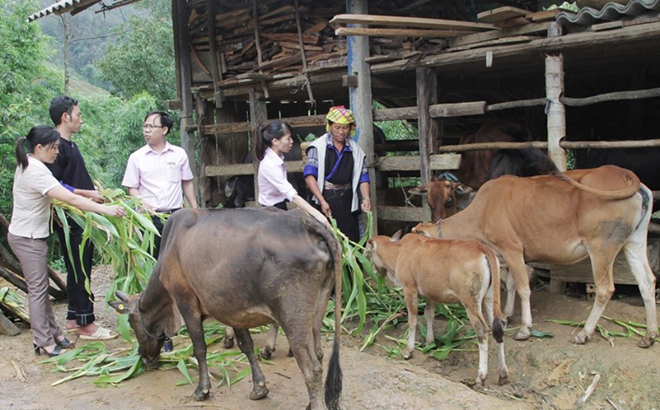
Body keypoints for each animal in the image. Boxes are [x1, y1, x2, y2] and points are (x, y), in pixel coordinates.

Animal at [368, 232, 508, 386]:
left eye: (369, 252)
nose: (374, 270)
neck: (400, 250)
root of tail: (482, 247)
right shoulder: (430, 294)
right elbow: (429, 315)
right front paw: (430, 343)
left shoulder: (409, 289)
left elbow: (413, 320)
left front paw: (409, 351)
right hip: (489, 298)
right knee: (497, 328)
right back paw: (503, 374)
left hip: (470, 302)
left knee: (482, 330)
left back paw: (481, 376)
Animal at [416, 165, 656, 348]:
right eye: (428, 202)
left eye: (449, 201)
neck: (482, 211)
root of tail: (624, 173)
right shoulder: (507, 255)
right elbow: (511, 283)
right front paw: (506, 315)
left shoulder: (512, 248)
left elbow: (523, 287)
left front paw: (524, 329)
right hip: (634, 242)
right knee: (647, 282)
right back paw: (649, 335)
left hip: (601, 248)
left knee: (605, 289)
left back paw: (584, 333)